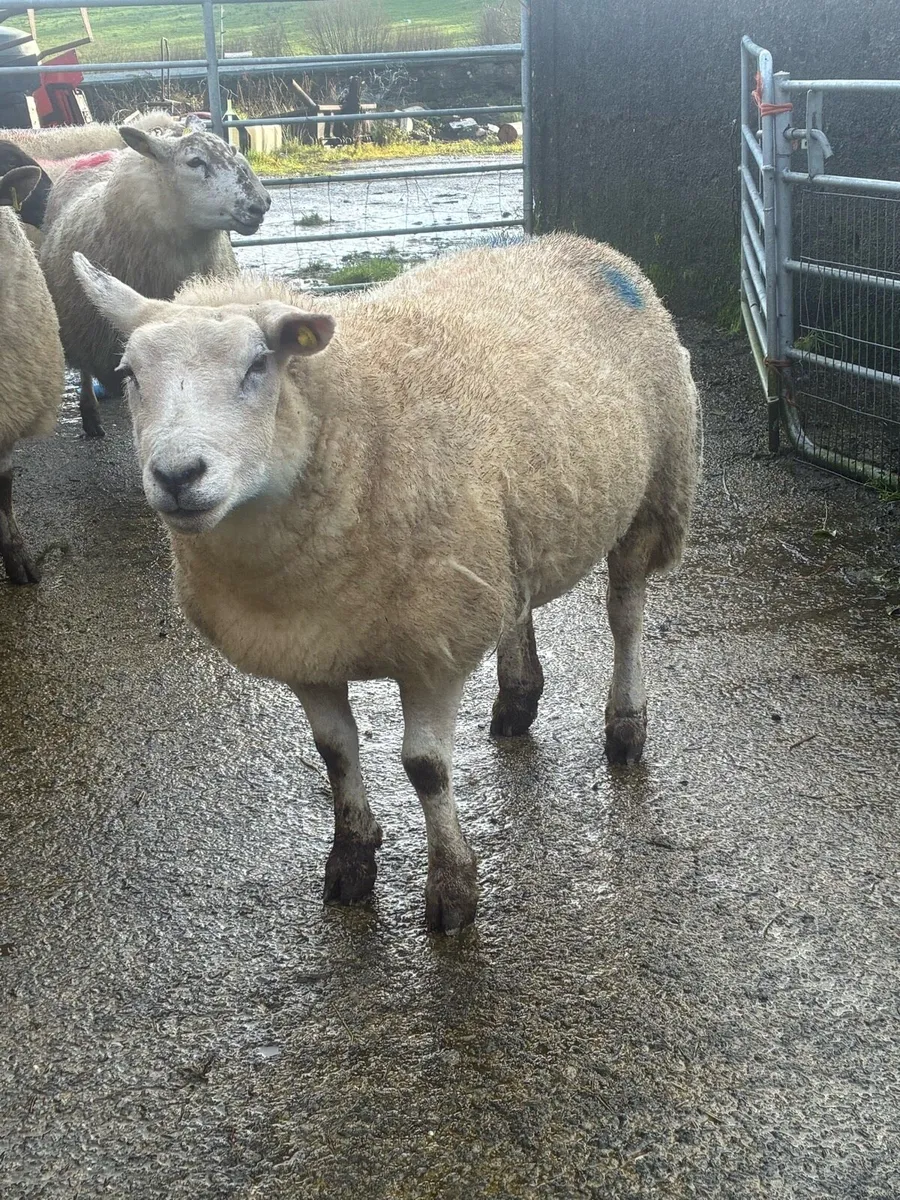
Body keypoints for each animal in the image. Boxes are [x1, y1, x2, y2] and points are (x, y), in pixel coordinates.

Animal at [74, 233, 701, 933]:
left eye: (260, 363)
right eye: (129, 374)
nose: (178, 475)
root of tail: (583, 245)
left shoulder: (434, 646)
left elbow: (425, 769)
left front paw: (452, 889)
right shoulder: (303, 647)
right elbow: (335, 753)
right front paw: (351, 858)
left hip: (655, 491)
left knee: (626, 615)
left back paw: (625, 726)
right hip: (506, 531)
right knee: (517, 607)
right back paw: (517, 700)